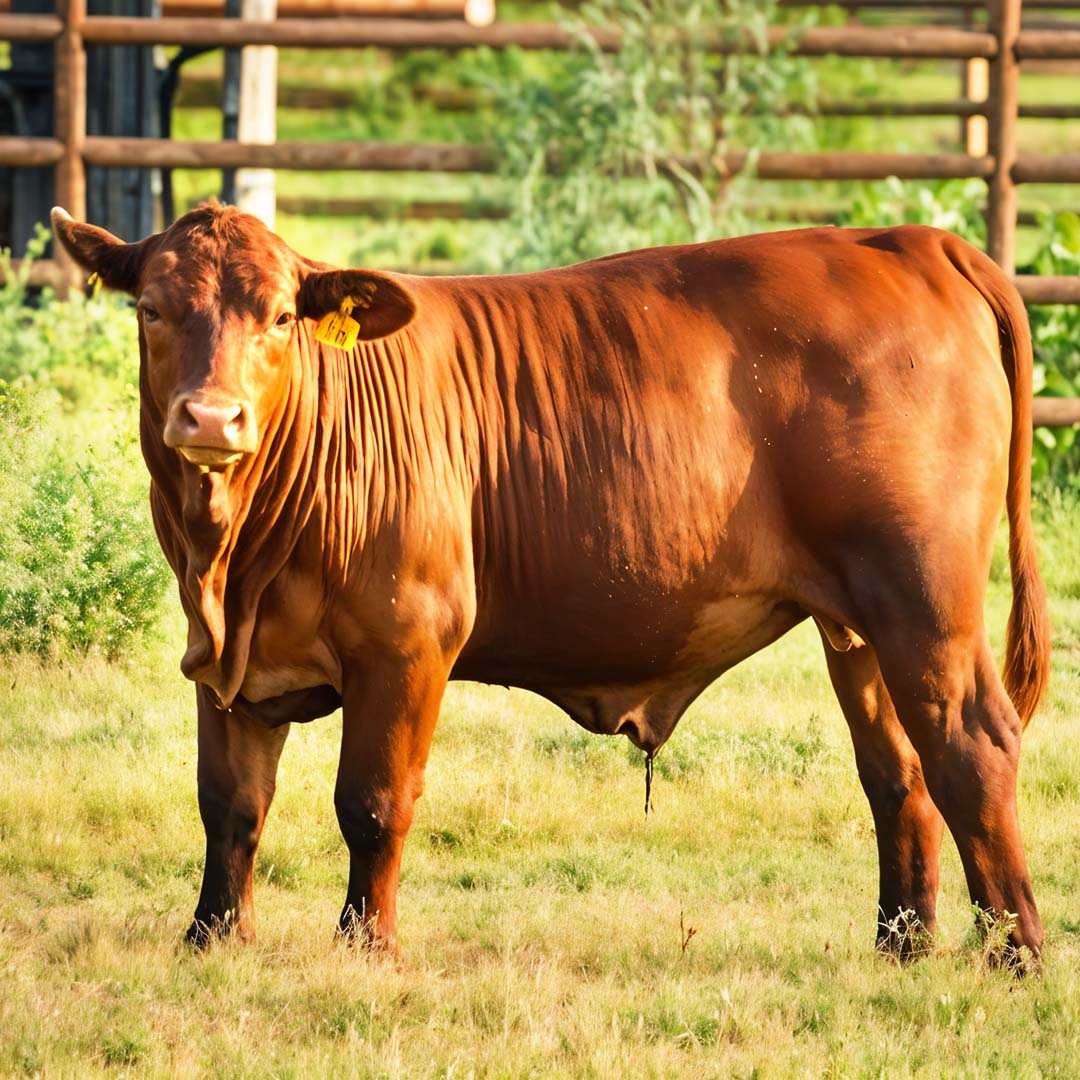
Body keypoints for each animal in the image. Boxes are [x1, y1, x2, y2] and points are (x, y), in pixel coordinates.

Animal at [52, 204, 1050, 963]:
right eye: (151, 309)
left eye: (278, 318)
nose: (211, 418)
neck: (238, 561)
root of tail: (907, 239)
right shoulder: (227, 663)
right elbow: (230, 806)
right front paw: (211, 939)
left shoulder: (407, 642)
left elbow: (371, 804)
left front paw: (365, 947)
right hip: (859, 628)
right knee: (900, 773)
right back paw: (902, 947)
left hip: (926, 604)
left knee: (973, 747)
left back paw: (1015, 954)